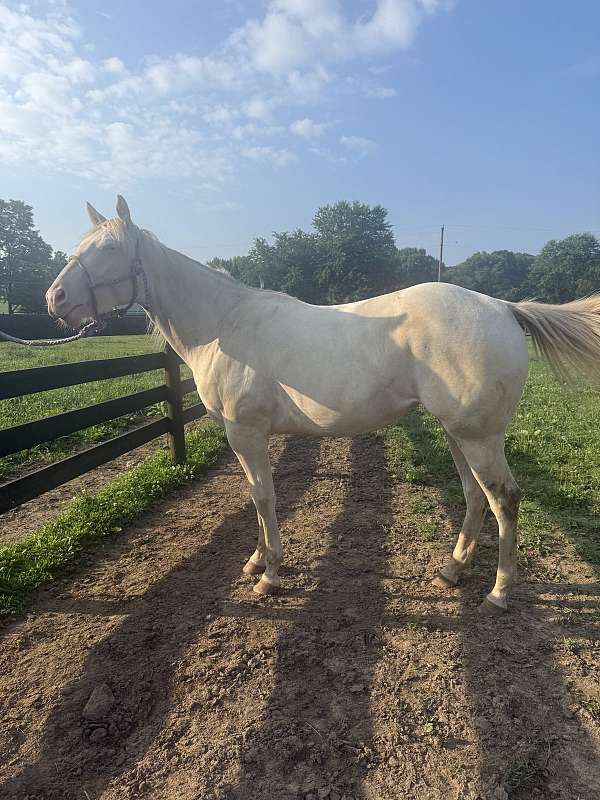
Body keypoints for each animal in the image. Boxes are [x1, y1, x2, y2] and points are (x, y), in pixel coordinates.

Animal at [46, 196, 600, 614]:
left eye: (110, 248)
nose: (56, 299)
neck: (225, 324)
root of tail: (503, 307)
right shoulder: (245, 437)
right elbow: (257, 497)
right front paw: (257, 561)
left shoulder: (245, 433)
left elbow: (263, 498)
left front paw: (269, 574)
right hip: (457, 433)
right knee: (473, 496)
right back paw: (452, 570)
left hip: (478, 436)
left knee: (504, 499)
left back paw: (500, 593)